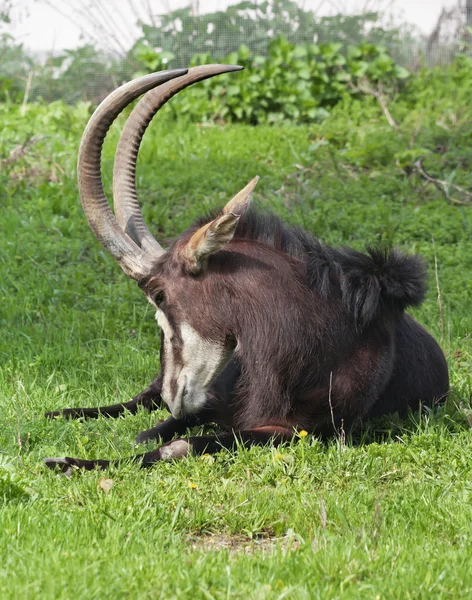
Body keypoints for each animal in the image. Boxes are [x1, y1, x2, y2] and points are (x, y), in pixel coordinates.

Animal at [43, 65, 446, 474]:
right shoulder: (211, 402)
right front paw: (68, 457)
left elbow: (180, 444)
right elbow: (158, 432)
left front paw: (72, 461)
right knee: (140, 400)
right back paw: (60, 413)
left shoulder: (302, 430)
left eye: (159, 295)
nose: (176, 394)